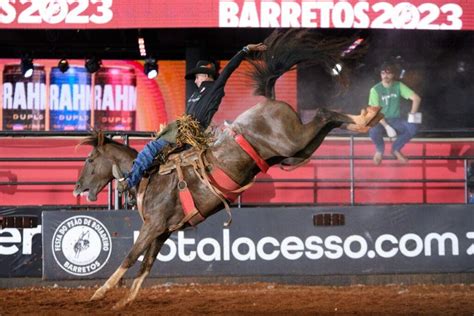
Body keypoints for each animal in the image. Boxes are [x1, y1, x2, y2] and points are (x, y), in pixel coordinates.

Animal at [73, 30, 382, 308]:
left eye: (89, 160)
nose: (78, 188)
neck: (149, 179)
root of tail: (269, 99)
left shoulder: (153, 226)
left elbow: (130, 256)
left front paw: (99, 292)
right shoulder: (162, 231)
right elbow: (145, 265)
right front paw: (124, 301)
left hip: (293, 141)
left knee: (323, 113)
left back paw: (367, 116)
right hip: (295, 153)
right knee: (325, 123)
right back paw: (366, 118)